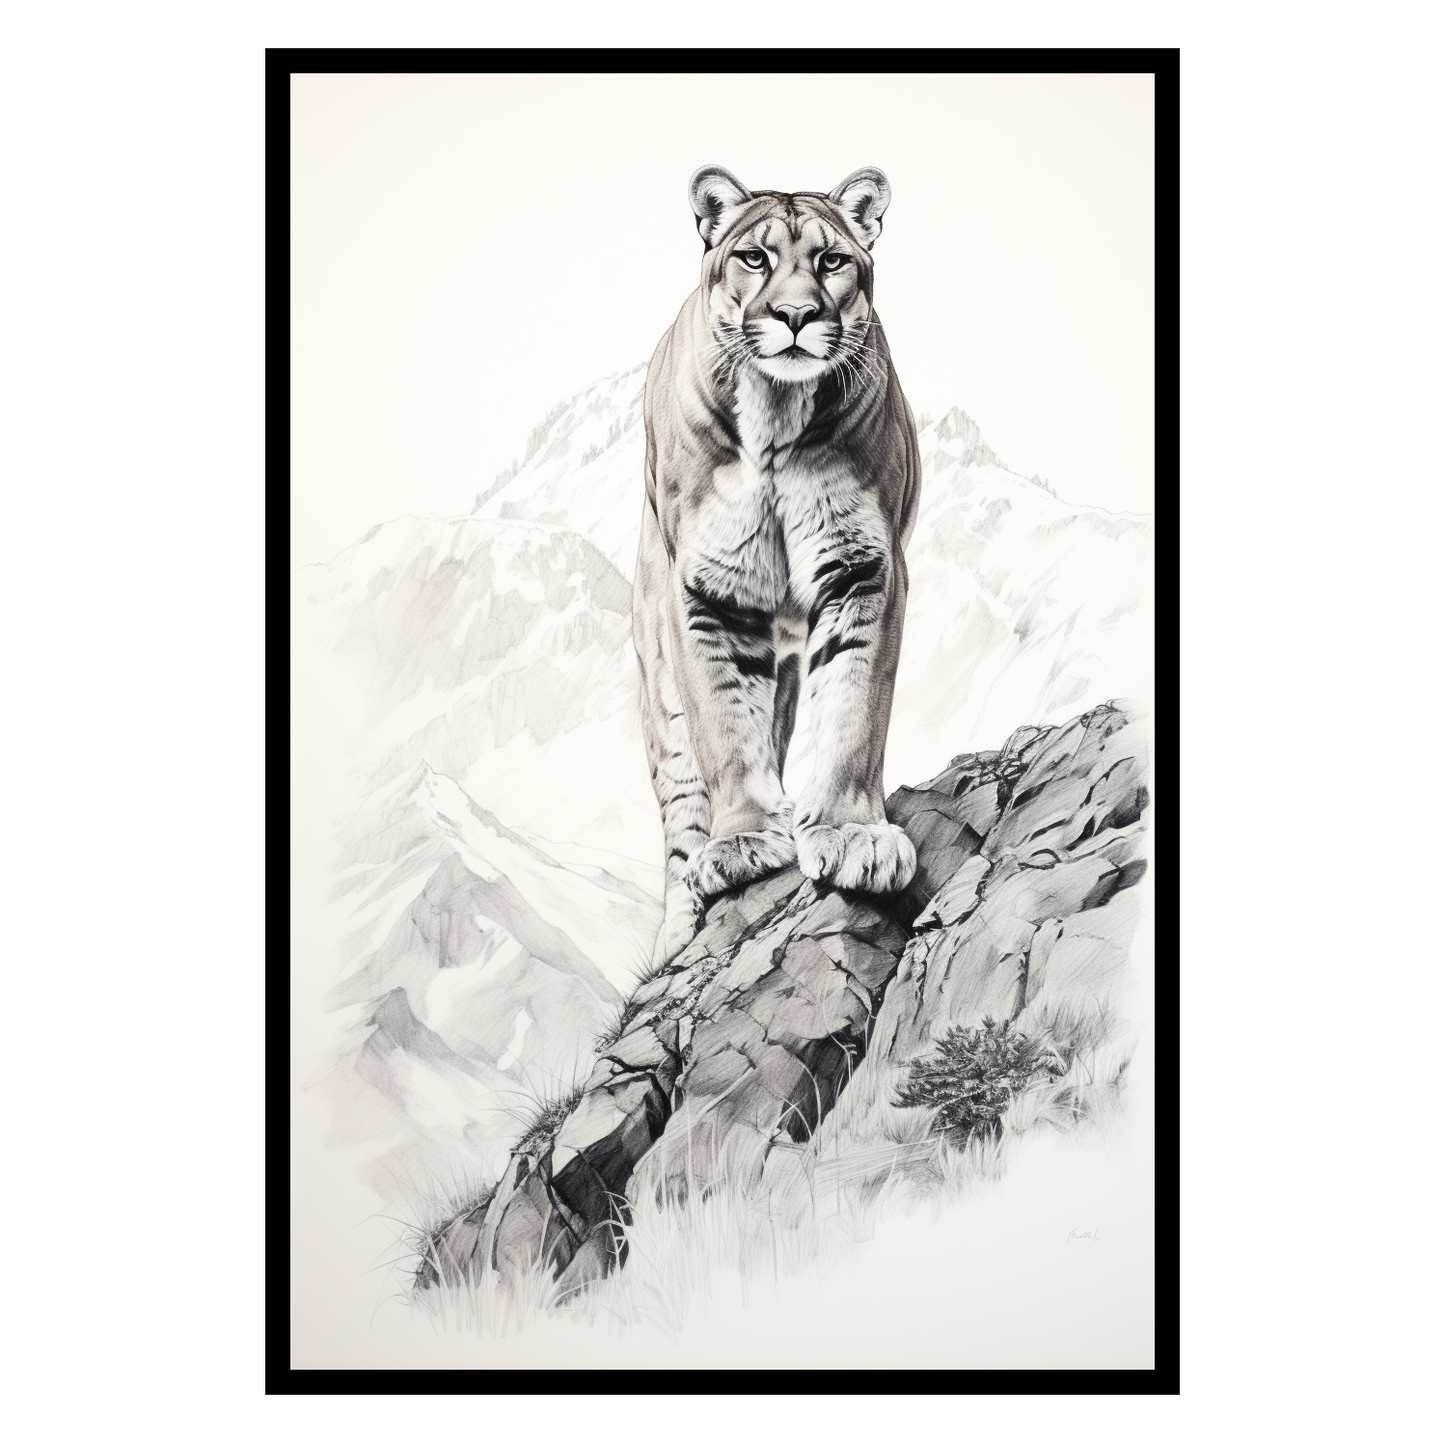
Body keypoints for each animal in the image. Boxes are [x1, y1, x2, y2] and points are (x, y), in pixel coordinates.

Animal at [633, 165, 922, 965]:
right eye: (754, 258)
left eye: (832, 261)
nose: (796, 314)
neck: (775, 415)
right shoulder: (705, 591)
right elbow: (725, 725)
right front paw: (745, 844)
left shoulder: (864, 568)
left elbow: (853, 709)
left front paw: (852, 836)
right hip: (658, 691)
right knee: (679, 809)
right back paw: (677, 935)